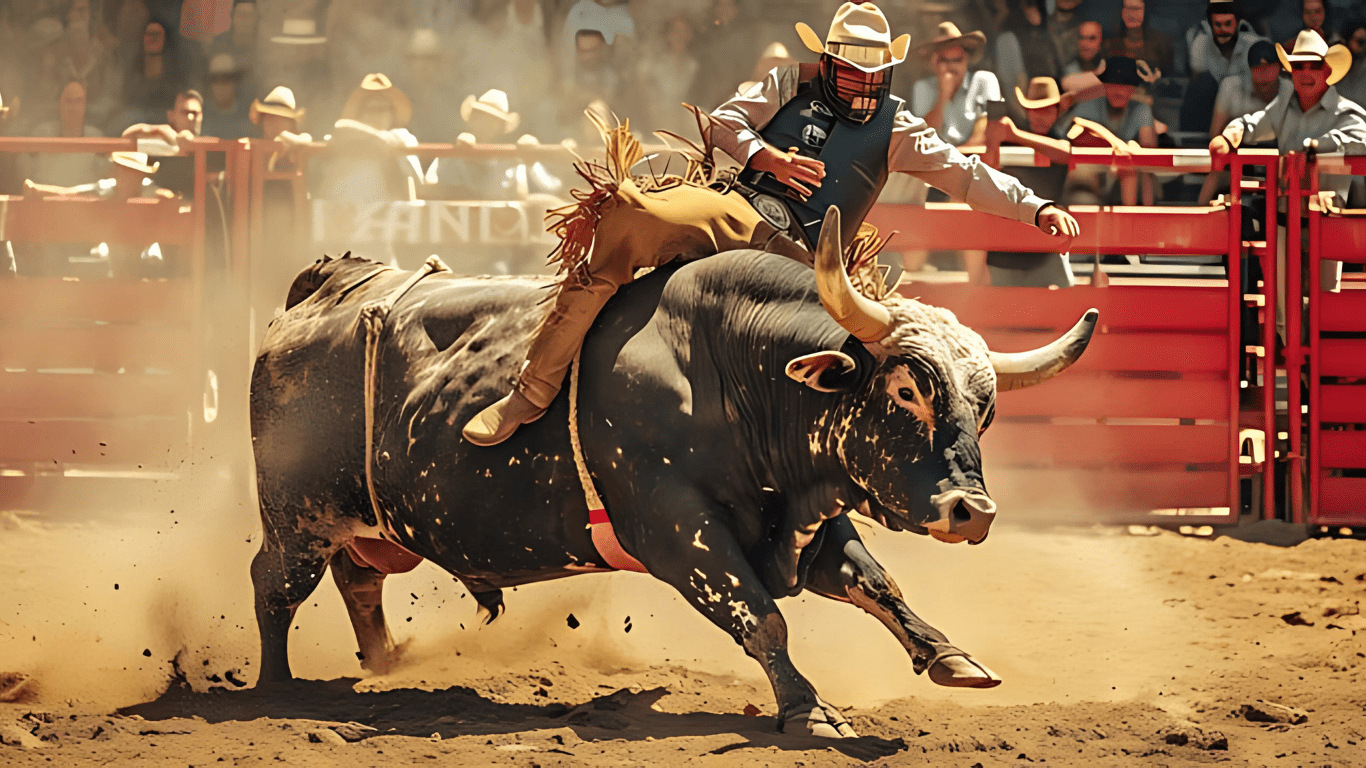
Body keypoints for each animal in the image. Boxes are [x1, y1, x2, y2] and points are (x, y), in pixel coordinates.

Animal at [251, 206, 1092, 732]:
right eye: (907, 389)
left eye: (985, 407)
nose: (972, 512)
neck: (727, 367)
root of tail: (329, 288)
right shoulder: (678, 531)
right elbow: (762, 616)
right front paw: (809, 709)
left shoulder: (798, 521)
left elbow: (876, 584)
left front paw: (952, 657)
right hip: (296, 517)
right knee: (274, 586)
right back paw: (276, 688)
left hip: (359, 523)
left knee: (359, 579)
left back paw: (384, 666)